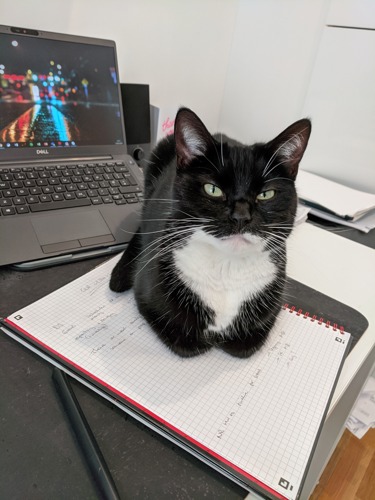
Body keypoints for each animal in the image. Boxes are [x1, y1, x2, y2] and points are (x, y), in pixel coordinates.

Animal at [111, 107, 312, 358]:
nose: (240, 217)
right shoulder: (148, 295)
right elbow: (187, 340)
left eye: (266, 194)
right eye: (213, 189)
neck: (226, 268)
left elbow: (244, 343)